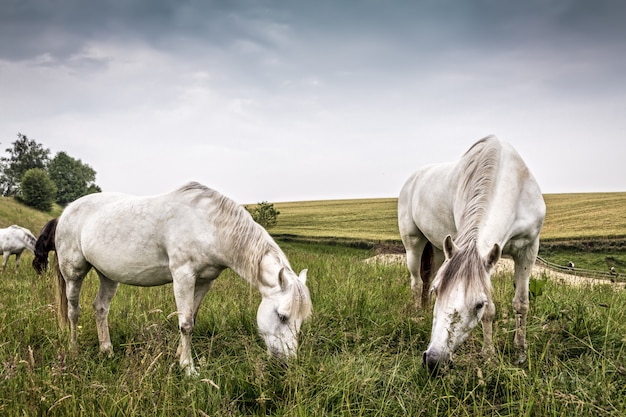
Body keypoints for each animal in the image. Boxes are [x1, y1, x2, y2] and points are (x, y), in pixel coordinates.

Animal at [33, 180, 310, 376]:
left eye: (300, 320)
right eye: (282, 316)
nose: (288, 364)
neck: (209, 225)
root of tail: (66, 212)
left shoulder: (205, 281)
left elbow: (191, 318)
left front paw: (179, 357)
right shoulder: (183, 276)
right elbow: (185, 324)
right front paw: (188, 369)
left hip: (108, 275)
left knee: (100, 308)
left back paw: (107, 351)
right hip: (74, 272)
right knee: (73, 311)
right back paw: (74, 350)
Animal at [398, 136, 544, 370]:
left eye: (477, 304)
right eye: (439, 293)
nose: (433, 360)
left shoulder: (528, 249)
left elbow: (521, 303)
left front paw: (520, 352)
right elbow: (491, 312)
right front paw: (489, 355)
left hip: (439, 249)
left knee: (427, 279)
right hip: (413, 244)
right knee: (417, 282)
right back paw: (417, 315)